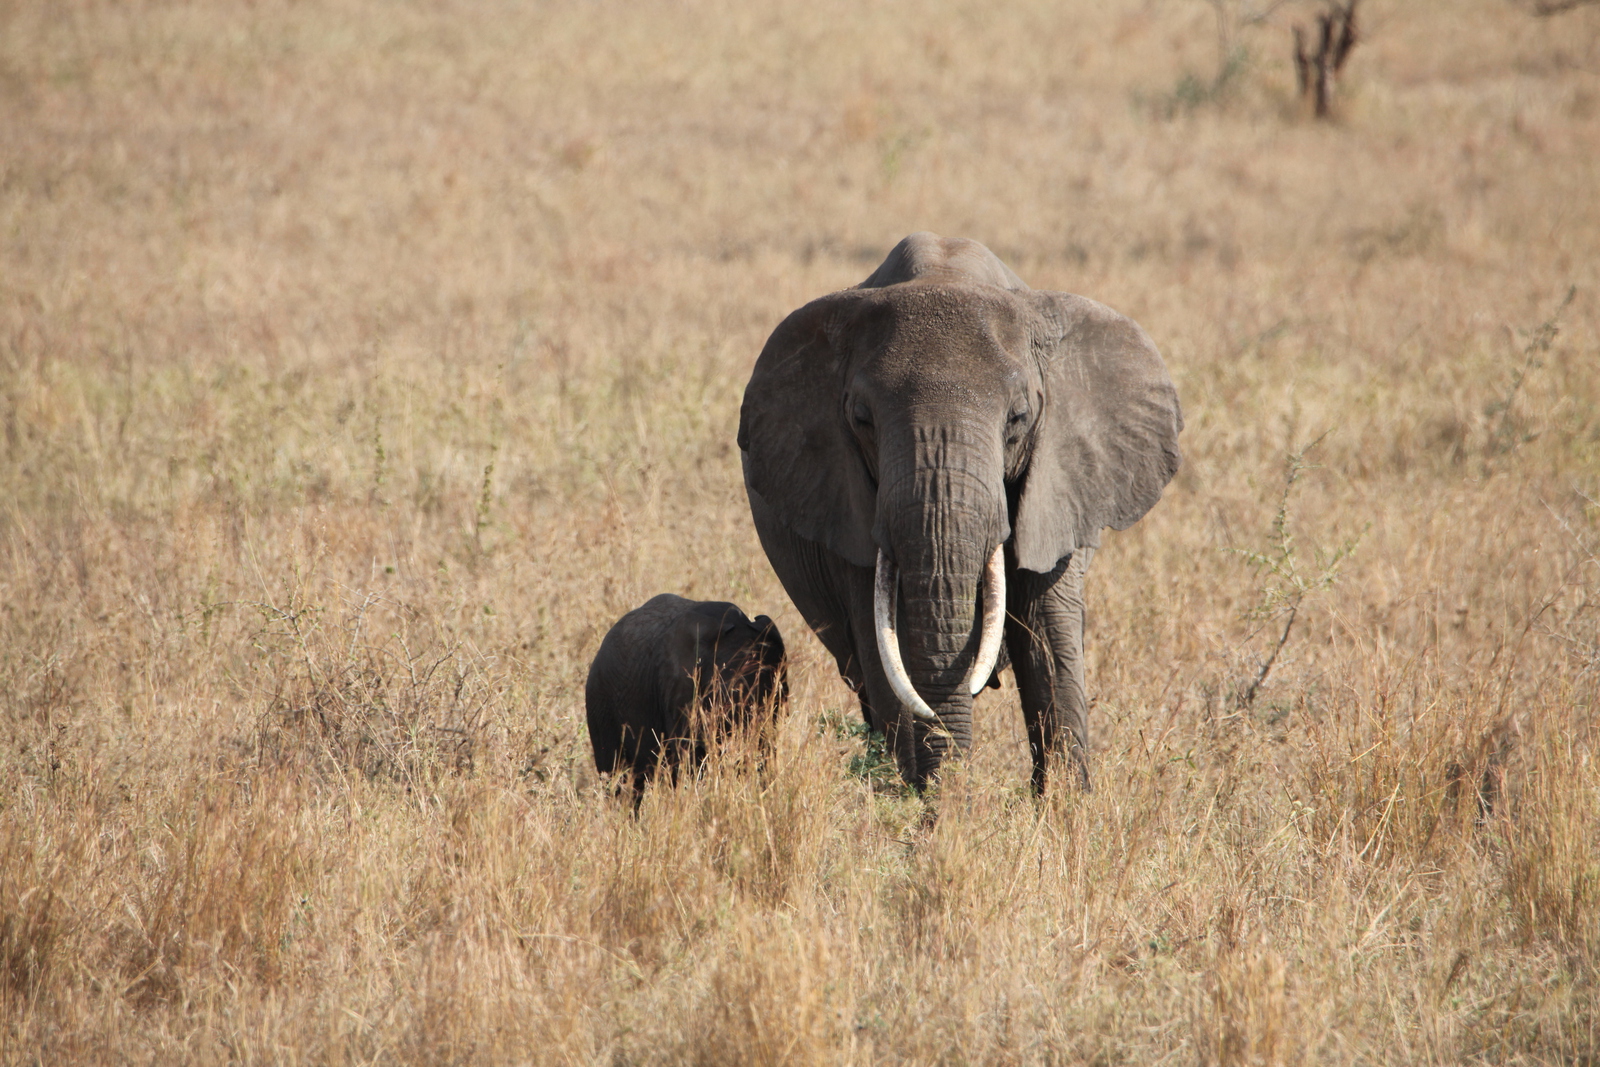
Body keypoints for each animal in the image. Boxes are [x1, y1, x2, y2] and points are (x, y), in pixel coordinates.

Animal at [732, 233, 1177, 790]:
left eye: (1019, 418)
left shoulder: (1061, 486)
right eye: (861, 419)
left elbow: (1048, 640)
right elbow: (888, 649)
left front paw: (1065, 810)